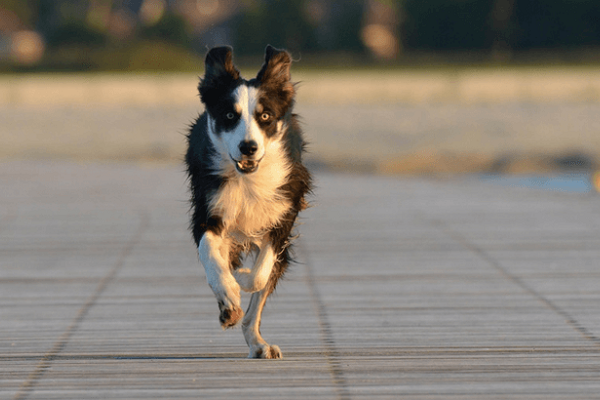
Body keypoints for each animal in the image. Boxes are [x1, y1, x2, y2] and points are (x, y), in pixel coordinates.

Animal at [185, 46, 312, 360]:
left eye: (265, 115)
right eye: (230, 115)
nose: (248, 147)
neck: (247, 179)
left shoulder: (284, 212)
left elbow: (260, 274)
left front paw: (241, 277)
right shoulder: (208, 210)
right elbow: (211, 254)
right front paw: (229, 291)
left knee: (255, 308)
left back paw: (258, 343)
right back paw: (229, 308)